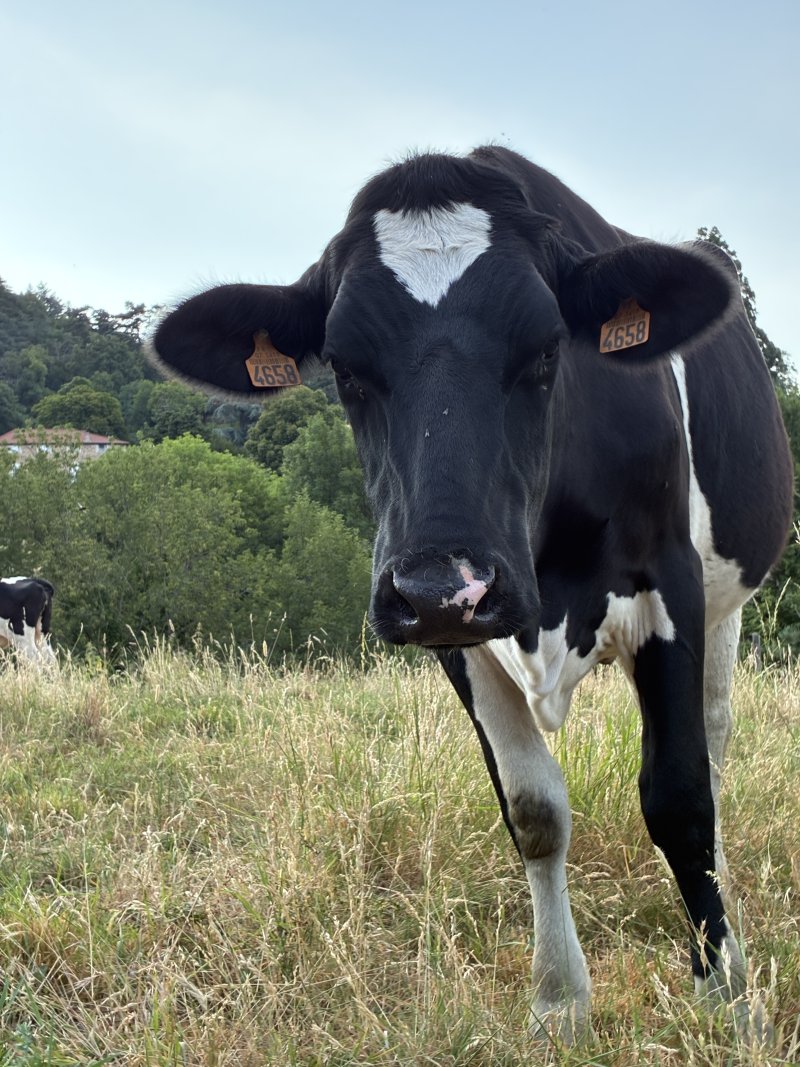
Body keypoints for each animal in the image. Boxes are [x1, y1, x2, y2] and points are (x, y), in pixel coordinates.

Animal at [150, 145, 793, 1040]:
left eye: (549, 348)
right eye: (343, 368)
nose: (436, 585)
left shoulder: (672, 586)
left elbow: (681, 796)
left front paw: (726, 994)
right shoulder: (462, 639)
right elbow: (533, 811)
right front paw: (559, 1000)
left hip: (731, 599)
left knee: (718, 739)